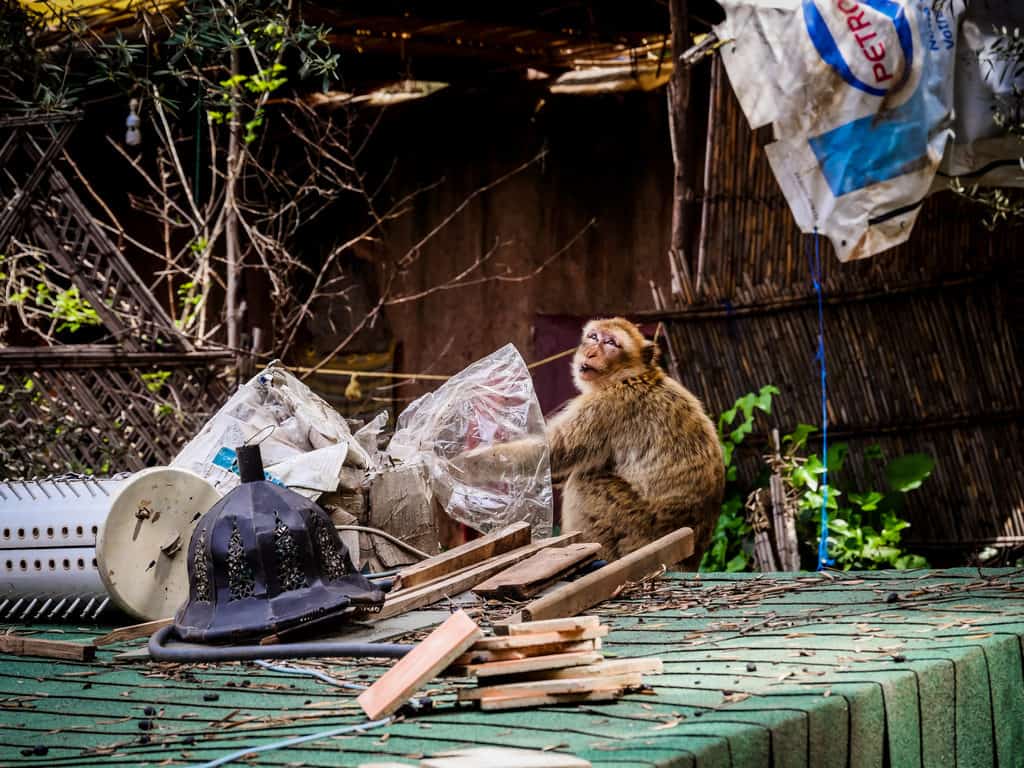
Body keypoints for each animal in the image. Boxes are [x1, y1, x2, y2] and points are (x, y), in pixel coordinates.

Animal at [459, 318, 724, 563]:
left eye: (611, 343)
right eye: (593, 337)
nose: (590, 352)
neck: (631, 375)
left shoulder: (605, 407)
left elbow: (550, 453)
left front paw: (465, 464)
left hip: (639, 528)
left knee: (586, 484)